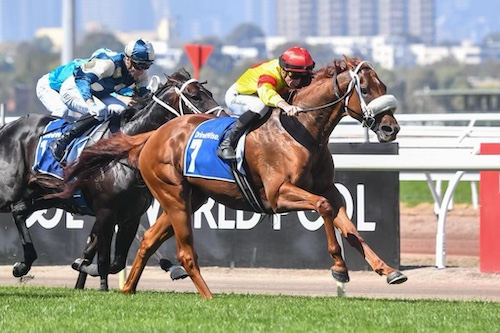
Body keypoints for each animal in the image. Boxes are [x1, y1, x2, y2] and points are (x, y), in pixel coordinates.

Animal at [0, 66, 223, 290]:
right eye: (195, 96)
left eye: (210, 93)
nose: (222, 118)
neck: (124, 153)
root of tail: (8, 127)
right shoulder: (106, 213)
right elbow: (104, 258)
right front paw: (94, 278)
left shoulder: (130, 216)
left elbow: (114, 261)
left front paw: (84, 268)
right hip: (10, 190)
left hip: (47, 195)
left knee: (19, 210)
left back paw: (23, 265)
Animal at [63, 55, 406, 296]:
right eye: (364, 89)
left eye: (385, 88)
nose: (391, 129)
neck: (301, 131)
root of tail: (153, 135)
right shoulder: (279, 194)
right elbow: (323, 209)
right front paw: (338, 267)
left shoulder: (330, 190)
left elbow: (349, 227)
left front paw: (389, 270)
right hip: (172, 195)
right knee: (176, 248)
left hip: (190, 199)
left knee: (148, 239)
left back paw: (128, 288)